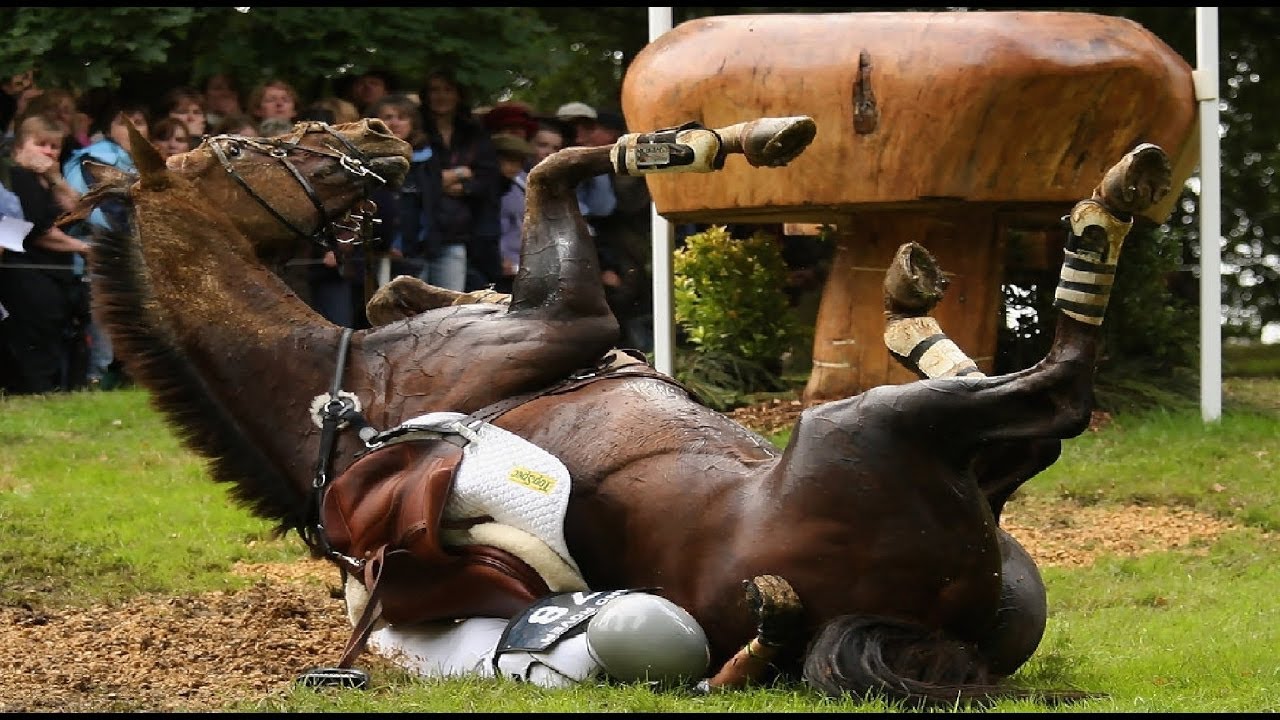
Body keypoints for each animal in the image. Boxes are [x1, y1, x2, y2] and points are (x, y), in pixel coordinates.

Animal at [70, 115, 1171, 708]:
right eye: (236, 149)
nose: (376, 135)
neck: (342, 389)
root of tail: (916, 625)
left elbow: (523, 194)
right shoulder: (569, 311)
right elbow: (550, 167)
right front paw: (728, 138)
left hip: (994, 531)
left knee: (1012, 426)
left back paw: (916, 311)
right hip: (870, 433)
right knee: (1057, 395)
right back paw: (1105, 201)